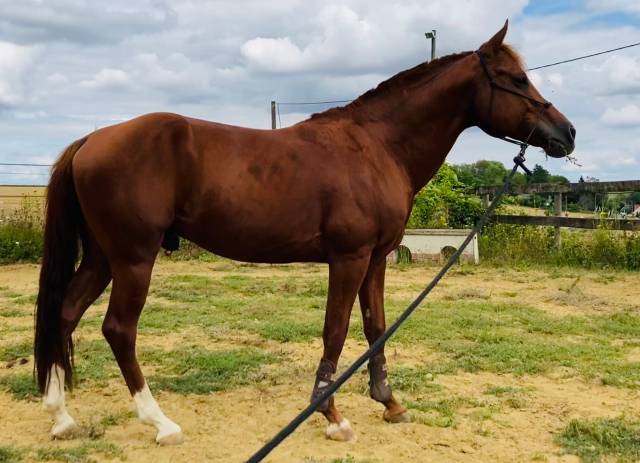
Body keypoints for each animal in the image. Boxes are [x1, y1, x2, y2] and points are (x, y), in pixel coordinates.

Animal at [34, 20, 575, 445]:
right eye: (516, 79)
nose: (566, 133)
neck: (377, 146)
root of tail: (92, 140)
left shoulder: (376, 258)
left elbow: (375, 327)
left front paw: (389, 402)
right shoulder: (349, 257)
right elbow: (335, 330)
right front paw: (331, 414)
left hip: (103, 257)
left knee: (65, 312)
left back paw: (62, 417)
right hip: (133, 259)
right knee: (118, 329)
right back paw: (161, 423)